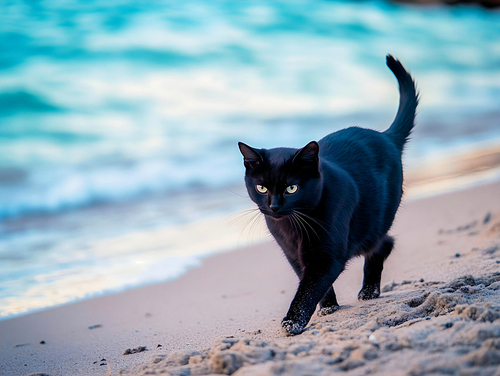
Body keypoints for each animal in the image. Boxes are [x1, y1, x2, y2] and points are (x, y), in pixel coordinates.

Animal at [238, 55, 418, 334]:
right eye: (261, 188)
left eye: (291, 188)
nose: (274, 206)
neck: (293, 226)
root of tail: (386, 136)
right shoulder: (292, 254)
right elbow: (311, 282)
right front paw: (329, 306)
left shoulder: (327, 255)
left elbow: (309, 287)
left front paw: (293, 321)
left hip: (374, 221)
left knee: (384, 243)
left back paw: (369, 291)